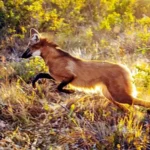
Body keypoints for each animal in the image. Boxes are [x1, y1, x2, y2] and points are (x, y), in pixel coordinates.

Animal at [21, 28, 150, 109]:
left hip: (118, 96)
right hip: (110, 96)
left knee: (139, 102)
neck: (54, 58)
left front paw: (70, 92)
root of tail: (124, 67)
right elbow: (40, 75)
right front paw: (33, 84)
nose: (21, 56)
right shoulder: (56, 76)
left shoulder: (70, 76)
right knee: (130, 107)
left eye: (28, 48)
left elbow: (59, 88)